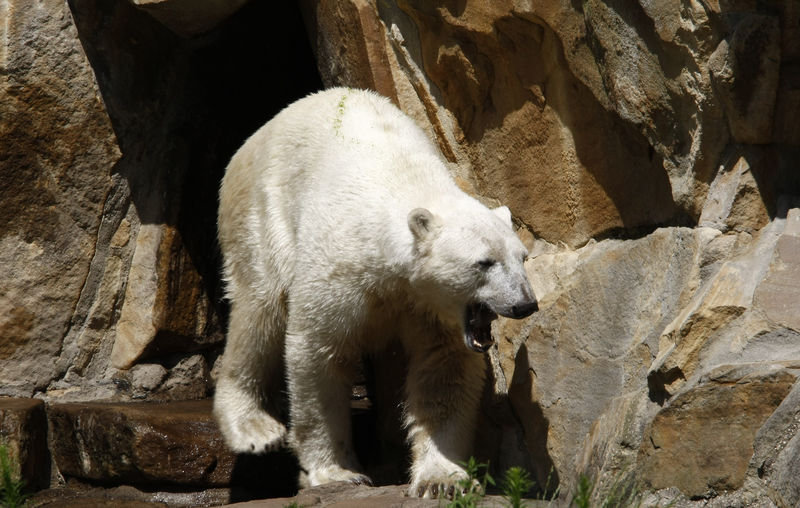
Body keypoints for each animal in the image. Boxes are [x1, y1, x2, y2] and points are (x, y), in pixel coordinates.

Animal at [212, 89, 536, 498]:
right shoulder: (342, 269)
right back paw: (254, 427)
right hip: (262, 209)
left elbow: (444, 370)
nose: (526, 304)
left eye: (522, 257)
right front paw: (337, 471)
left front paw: (443, 478)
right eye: (484, 262)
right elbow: (318, 353)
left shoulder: (429, 309)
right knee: (260, 307)